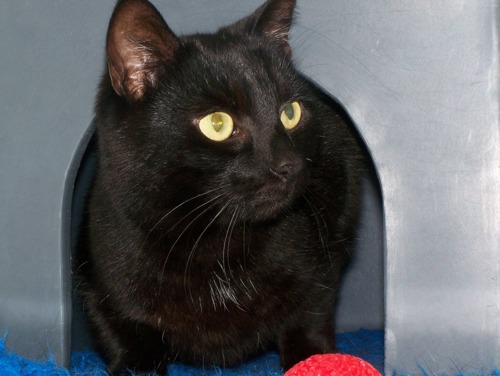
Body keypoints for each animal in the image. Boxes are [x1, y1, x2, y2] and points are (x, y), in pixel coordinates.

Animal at [77, 0, 368, 374]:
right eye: (217, 123)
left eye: (290, 112)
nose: (289, 164)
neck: (213, 244)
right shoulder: (98, 286)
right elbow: (122, 334)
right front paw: (136, 362)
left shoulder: (327, 249)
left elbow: (310, 313)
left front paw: (316, 358)